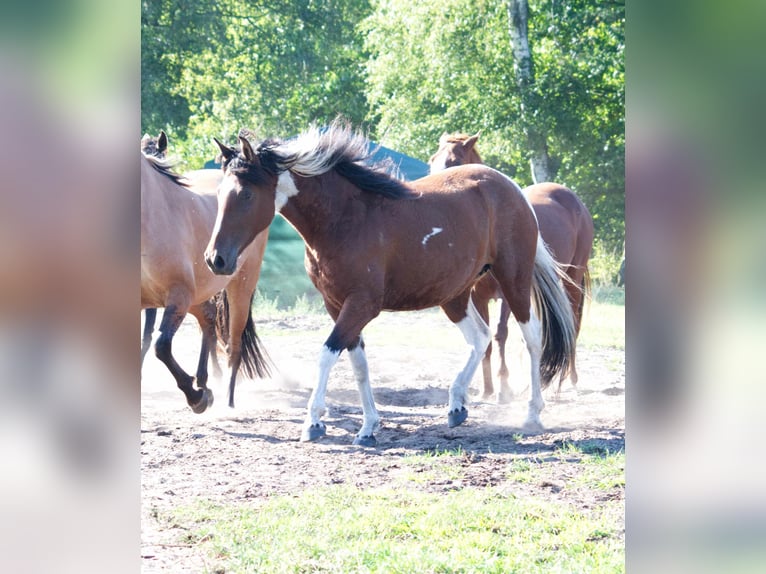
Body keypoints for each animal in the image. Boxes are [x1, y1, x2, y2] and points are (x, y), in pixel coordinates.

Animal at [142, 152, 272, 414]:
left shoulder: (179, 296)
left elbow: (161, 346)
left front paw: (196, 397)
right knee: (209, 319)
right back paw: (205, 380)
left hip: (239, 287)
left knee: (233, 343)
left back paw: (225, 398)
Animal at [204, 120, 576, 446]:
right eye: (220, 193)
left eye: (247, 195)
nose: (215, 259)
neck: (344, 219)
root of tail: (512, 190)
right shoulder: (337, 305)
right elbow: (358, 365)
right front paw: (368, 428)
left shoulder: (362, 304)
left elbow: (327, 354)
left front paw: (314, 423)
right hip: (454, 295)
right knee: (480, 336)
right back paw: (456, 405)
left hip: (514, 279)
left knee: (531, 338)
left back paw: (532, 414)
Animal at [428, 134, 596, 404]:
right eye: (432, 160)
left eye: (455, 161)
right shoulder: (477, 297)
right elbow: (486, 340)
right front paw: (487, 389)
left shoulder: (508, 293)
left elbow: (499, 333)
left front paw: (503, 386)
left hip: (570, 280)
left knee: (570, 323)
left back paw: (565, 382)